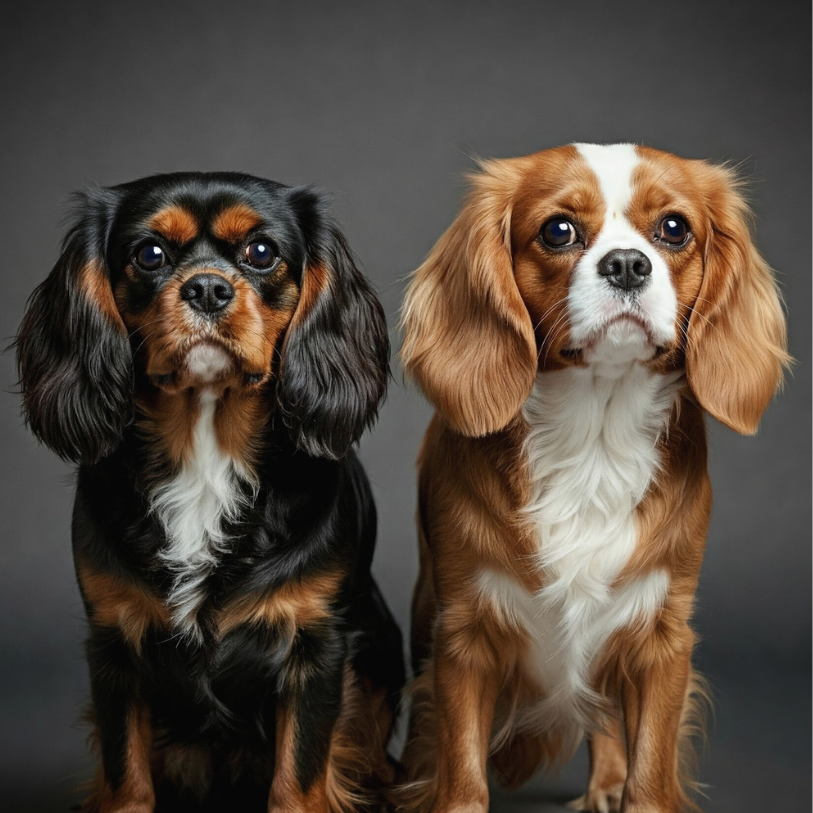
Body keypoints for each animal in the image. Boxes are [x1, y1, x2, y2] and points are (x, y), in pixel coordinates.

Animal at [15, 171, 402, 812]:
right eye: (150, 254)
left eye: (261, 252)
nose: (207, 289)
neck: (206, 449)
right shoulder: (113, 644)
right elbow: (126, 775)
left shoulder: (317, 644)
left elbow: (299, 778)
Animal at [396, 146, 788, 812]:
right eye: (559, 231)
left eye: (674, 229)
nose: (627, 264)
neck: (594, 442)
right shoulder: (463, 637)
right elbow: (461, 764)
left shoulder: (661, 637)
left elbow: (649, 765)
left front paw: (626, 788)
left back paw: (605, 783)